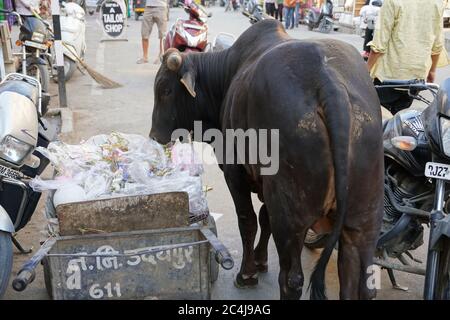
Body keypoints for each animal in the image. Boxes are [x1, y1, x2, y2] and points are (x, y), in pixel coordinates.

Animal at [150, 20, 384, 300]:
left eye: (165, 89)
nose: (154, 136)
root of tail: (330, 83)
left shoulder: (235, 173)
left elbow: (248, 221)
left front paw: (248, 273)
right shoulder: (266, 185)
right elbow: (264, 218)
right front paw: (260, 261)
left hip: (291, 215)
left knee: (292, 279)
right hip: (363, 218)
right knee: (359, 280)